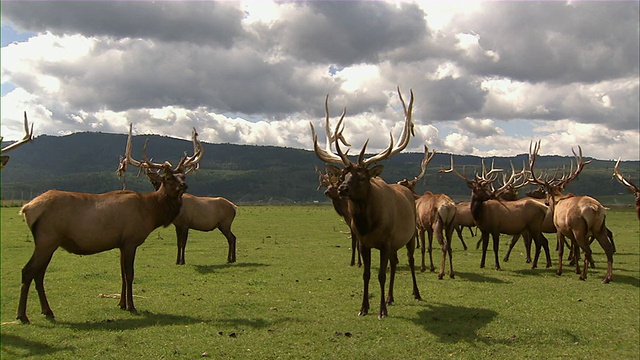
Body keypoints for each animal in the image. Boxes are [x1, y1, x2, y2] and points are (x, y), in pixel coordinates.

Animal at [15, 124, 202, 324]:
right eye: (168, 178)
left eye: (183, 176)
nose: (184, 186)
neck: (150, 213)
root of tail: (27, 208)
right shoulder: (130, 240)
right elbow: (130, 274)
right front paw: (132, 306)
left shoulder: (121, 243)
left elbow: (122, 274)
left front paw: (121, 304)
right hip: (47, 239)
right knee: (28, 271)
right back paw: (22, 315)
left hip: (49, 242)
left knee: (39, 273)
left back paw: (47, 311)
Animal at [310, 87, 420, 318]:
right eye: (343, 175)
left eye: (362, 176)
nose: (342, 189)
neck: (367, 224)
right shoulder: (364, 243)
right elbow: (367, 274)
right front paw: (364, 308)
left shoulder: (385, 242)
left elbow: (381, 275)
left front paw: (381, 311)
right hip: (396, 243)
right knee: (395, 264)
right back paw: (390, 297)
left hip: (410, 235)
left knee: (411, 261)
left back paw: (416, 293)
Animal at [398, 146, 458, 278]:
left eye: (403, 183)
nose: (397, 184)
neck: (416, 200)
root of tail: (449, 207)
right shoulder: (428, 228)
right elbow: (429, 247)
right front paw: (431, 267)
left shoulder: (420, 226)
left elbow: (423, 247)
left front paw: (423, 268)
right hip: (450, 225)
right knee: (450, 246)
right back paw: (451, 273)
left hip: (438, 224)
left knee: (444, 245)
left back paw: (441, 273)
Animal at [528, 141, 616, 284]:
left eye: (546, 193)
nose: (546, 202)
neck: (557, 201)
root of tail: (596, 209)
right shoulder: (571, 233)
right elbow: (575, 249)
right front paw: (576, 269)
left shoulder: (559, 228)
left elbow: (561, 251)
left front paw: (560, 271)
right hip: (599, 227)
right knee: (607, 249)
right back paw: (607, 278)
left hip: (579, 228)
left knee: (588, 250)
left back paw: (584, 276)